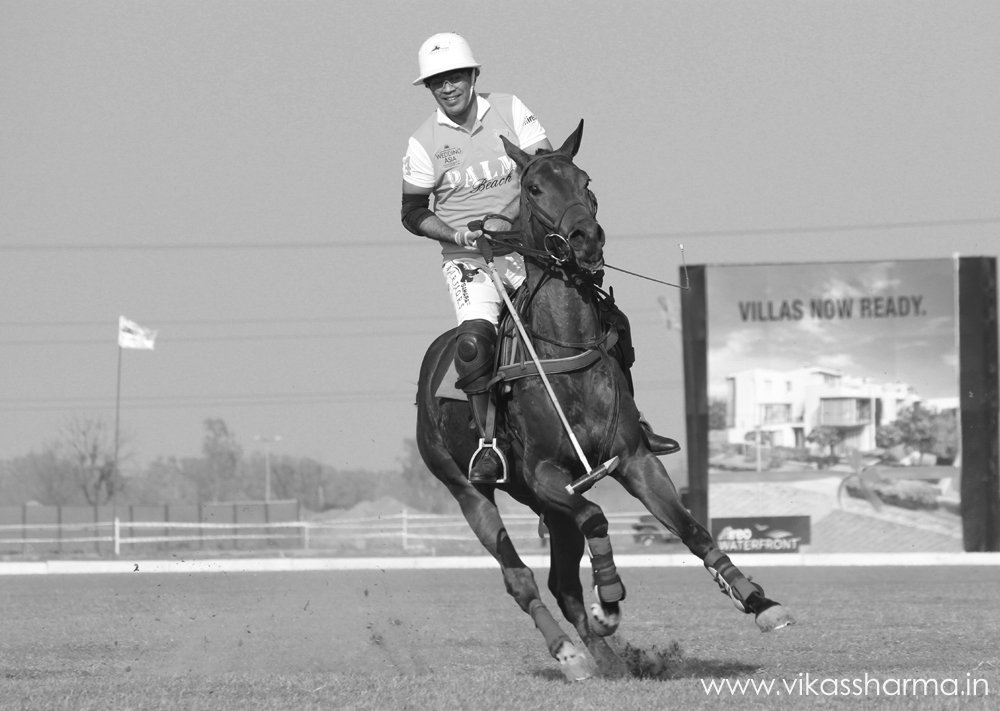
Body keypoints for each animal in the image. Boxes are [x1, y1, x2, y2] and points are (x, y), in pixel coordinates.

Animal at [412, 119, 788, 680]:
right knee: (520, 576)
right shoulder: (547, 473)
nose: (585, 238)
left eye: (585, 180)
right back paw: (569, 652)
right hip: (467, 489)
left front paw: (758, 602)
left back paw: (609, 662)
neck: (566, 347)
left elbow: (692, 529)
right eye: (533, 187)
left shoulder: (633, 460)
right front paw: (608, 598)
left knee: (561, 582)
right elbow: (596, 516)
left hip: (542, 505)